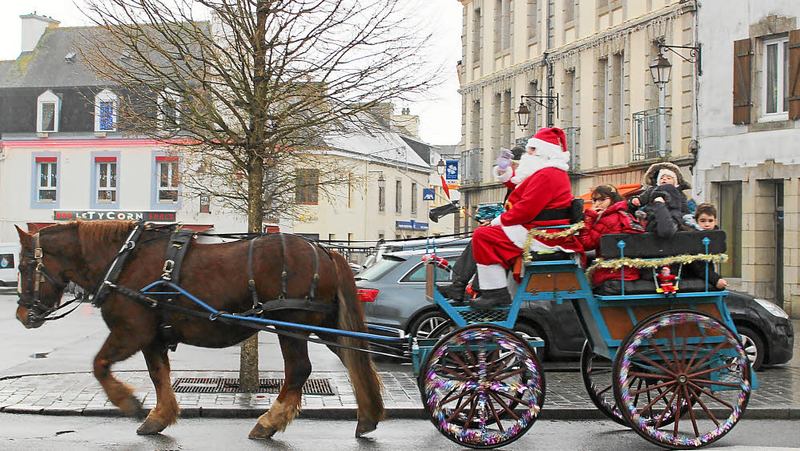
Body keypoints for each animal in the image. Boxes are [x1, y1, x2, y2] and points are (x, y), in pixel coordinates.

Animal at [14, 222, 384, 442]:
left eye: (25, 266)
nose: (20, 314)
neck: (123, 262)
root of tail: (325, 250)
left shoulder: (131, 332)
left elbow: (99, 365)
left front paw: (127, 401)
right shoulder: (153, 338)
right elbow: (159, 375)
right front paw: (159, 416)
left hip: (291, 322)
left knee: (299, 370)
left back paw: (269, 421)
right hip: (323, 324)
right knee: (354, 360)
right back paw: (368, 416)